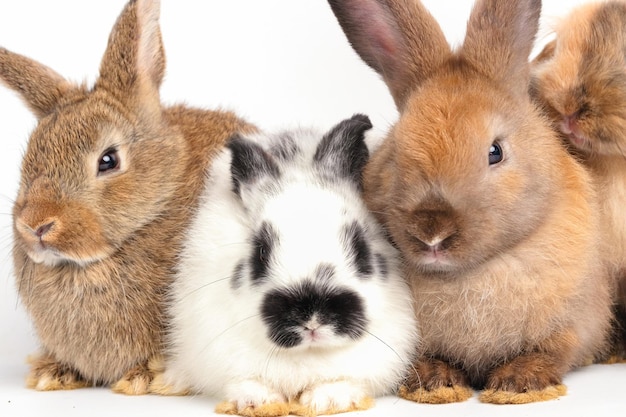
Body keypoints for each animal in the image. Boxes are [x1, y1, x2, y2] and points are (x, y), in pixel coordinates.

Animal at [148, 114, 416, 416]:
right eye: (260, 253)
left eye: (361, 248)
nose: (312, 318)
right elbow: (245, 382)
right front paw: (258, 401)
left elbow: (344, 381)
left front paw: (328, 400)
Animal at [330, 0, 612, 404]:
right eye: (396, 151)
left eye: (495, 152)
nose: (432, 232)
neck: (471, 273)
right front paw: (436, 382)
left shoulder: (573, 325)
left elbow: (551, 351)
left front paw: (517, 384)